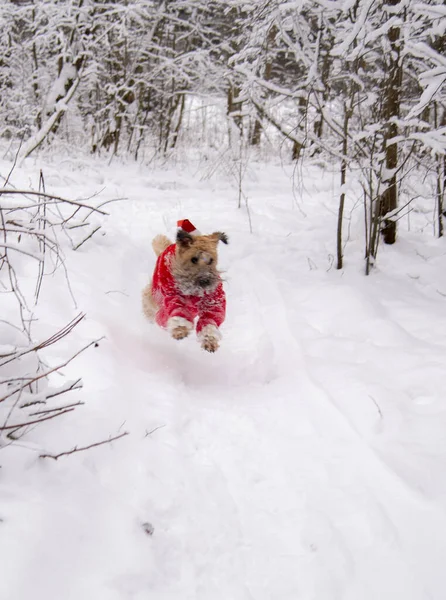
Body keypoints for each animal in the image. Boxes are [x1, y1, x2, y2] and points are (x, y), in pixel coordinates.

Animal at [142, 220, 228, 352]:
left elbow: (210, 321)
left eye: (211, 260)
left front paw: (209, 340)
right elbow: (178, 312)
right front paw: (180, 329)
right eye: (193, 259)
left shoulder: (213, 302)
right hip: (155, 295)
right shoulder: (173, 296)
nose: (205, 281)